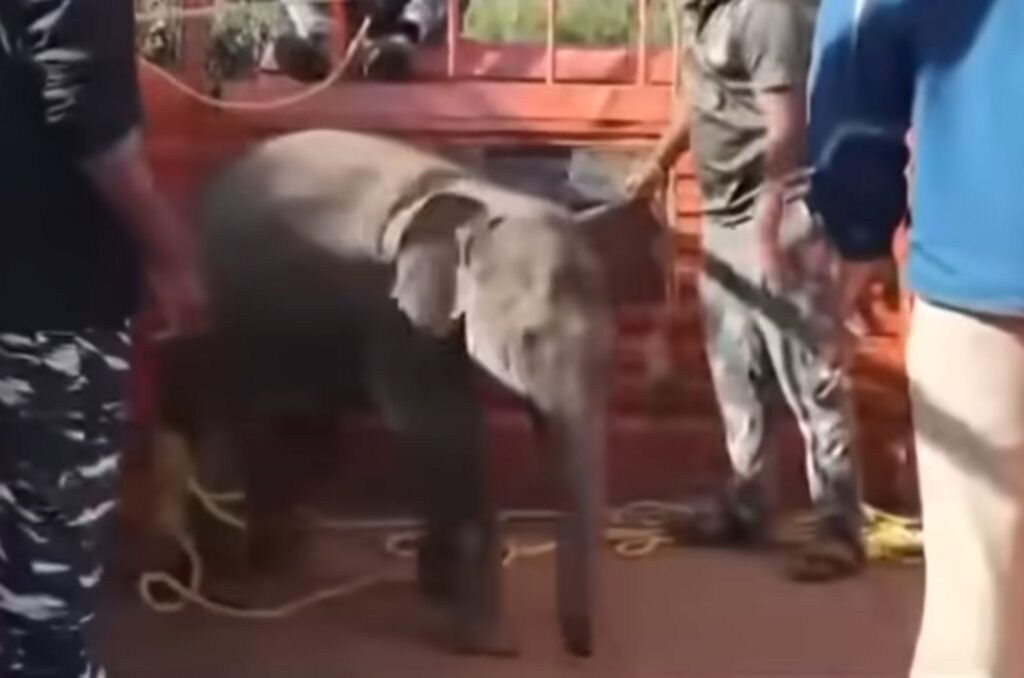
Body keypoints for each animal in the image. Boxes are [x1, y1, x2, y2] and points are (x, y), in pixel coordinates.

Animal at [156, 131, 659, 659]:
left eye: (612, 345)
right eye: (529, 338)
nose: (580, 651)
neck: (483, 201)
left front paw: (438, 592)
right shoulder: (395, 318)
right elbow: (441, 433)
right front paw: (490, 644)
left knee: (307, 433)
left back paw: (279, 556)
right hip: (229, 303)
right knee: (241, 414)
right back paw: (231, 585)